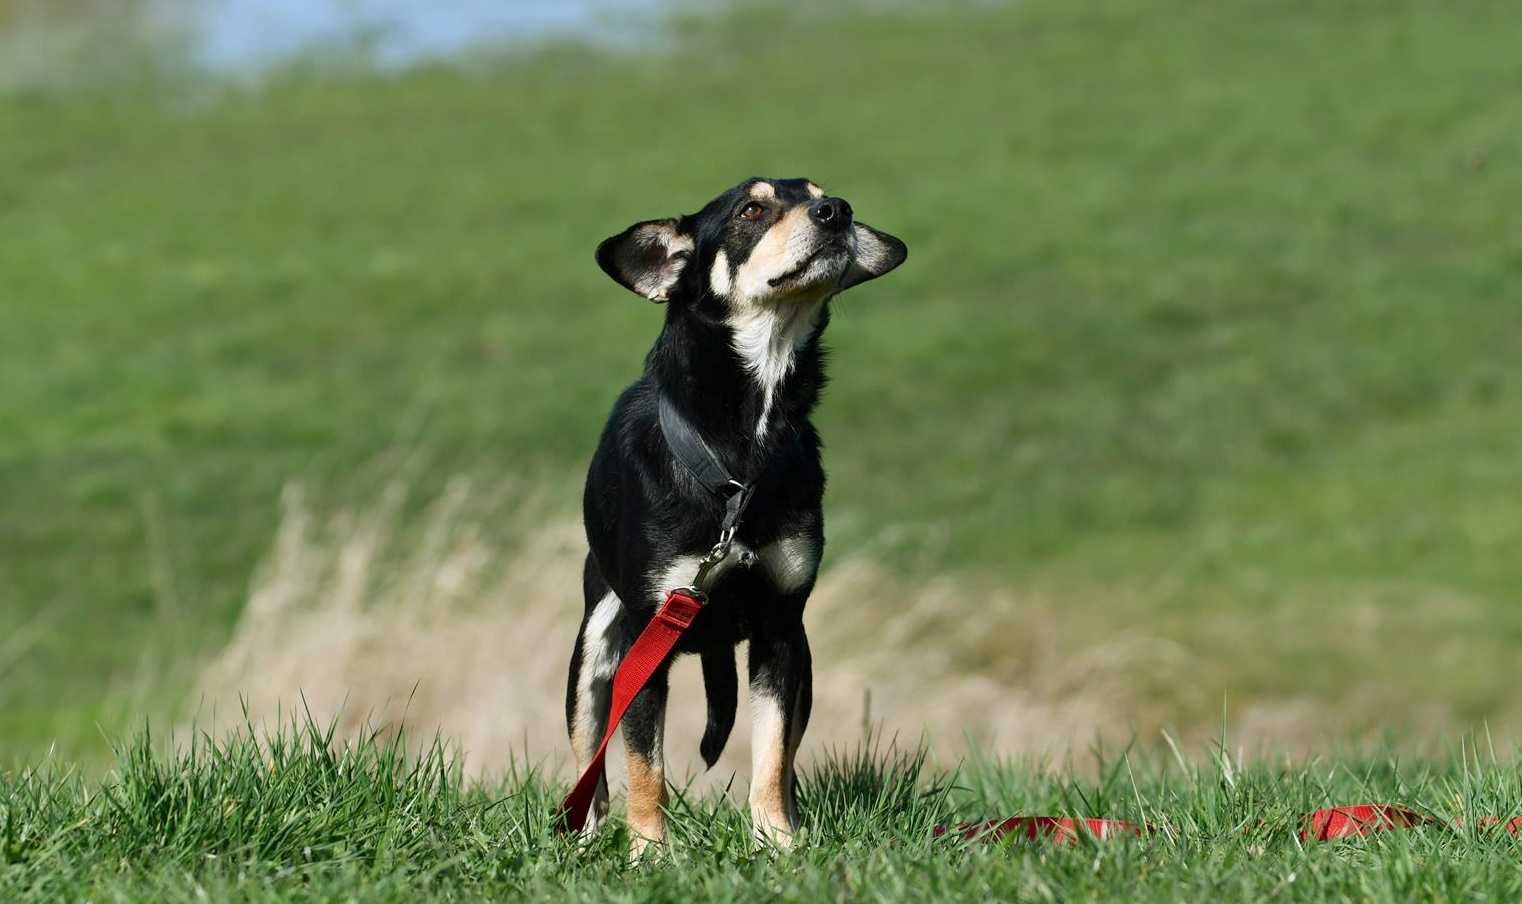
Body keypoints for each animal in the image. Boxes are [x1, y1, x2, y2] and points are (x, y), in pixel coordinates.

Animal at [569, 178, 901, 852]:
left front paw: (777, 841)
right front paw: (649, 853)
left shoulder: (780, 628)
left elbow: (772, 753)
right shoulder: (646, 634)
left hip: (802, 659)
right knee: (590, 759)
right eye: (752, 208)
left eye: (823, 193)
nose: (837, 213)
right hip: (594, 647)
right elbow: (644, 767)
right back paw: (585, 839)